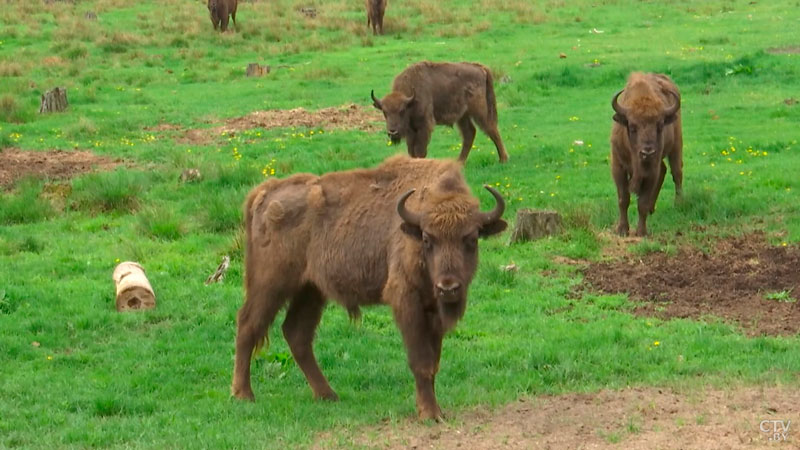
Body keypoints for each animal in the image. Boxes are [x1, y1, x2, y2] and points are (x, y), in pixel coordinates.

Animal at [231, 156, 506, 422]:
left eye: (471, 238)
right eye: (428, 239)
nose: (448, 287)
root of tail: (264, 192)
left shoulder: (433, 312)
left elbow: (433, 362)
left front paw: (434, 410)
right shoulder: (407, 302)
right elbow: (420, 361)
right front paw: (429, 414)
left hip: (310, 291)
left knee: (296, 333)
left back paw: (327, 395)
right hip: (269, 285)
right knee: (248, 324)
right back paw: (243, 394)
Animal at [372, 60, 510, 163]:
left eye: (402, 110)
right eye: (384, 112)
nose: (392, 131)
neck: (411, 100)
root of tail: (481, 68)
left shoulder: (424, 126)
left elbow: (420, 150)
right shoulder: (411, 130)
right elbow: (412, 150)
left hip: (479, 112)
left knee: (492, 129)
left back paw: (503, 159)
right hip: (463, 116)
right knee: (469, 133)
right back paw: (459, 162)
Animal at [608, 71, 684, 236]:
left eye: (660, 125)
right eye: (632, 126)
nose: (647, 152)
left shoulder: (650, 172)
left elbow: (641, 202)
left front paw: (641, 232)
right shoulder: (618, 167)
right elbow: (623, 199)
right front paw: (622, 229)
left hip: (676, 146)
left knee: (677, 174)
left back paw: (679, 204)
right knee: (664, 170)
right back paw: (651, 208)